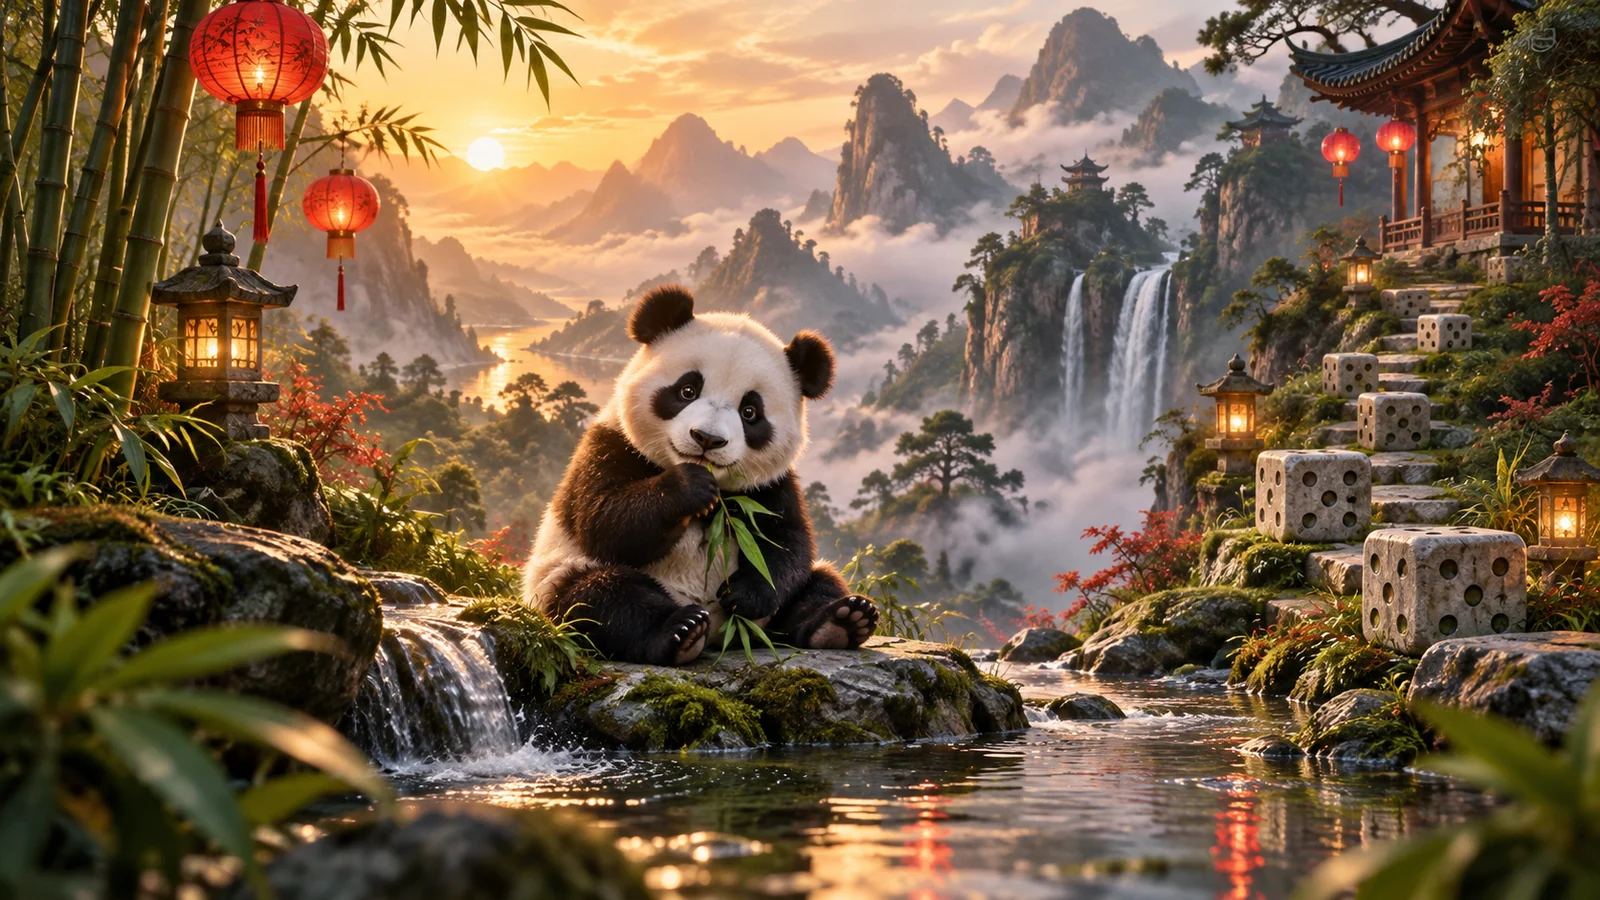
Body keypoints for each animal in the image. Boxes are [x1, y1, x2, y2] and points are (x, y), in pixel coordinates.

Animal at [521, 285, 880, 666]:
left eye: (750, 411)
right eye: (687, 390)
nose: (707, 438)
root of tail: (723, 636)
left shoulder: (772, 486)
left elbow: (786, 543)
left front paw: (745, 594)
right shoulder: (609, 445)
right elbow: (603, 519)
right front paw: (688, 488)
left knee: (818, 582)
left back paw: (842, 620)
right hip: (555, 579)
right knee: (599, 597)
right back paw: (680, 631)